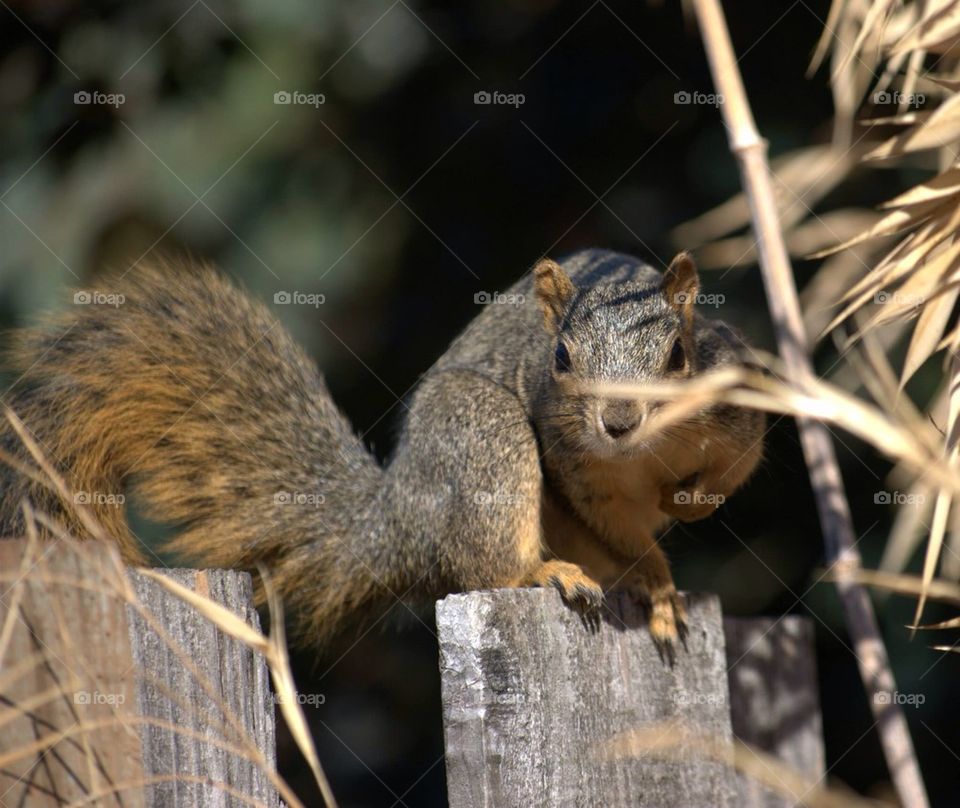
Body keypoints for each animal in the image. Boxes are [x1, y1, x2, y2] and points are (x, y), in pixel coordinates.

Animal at [0, 249, 763, 656]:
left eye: (679, 354)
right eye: (561, 359)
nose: (617, 421)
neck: (642, 455)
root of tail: (393, 519)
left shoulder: (741, 401)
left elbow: (731, 471)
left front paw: (686, 504)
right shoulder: (573, 464)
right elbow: (613, 525)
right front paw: (658, 580)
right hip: (482, 431)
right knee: (484, 563)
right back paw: (545, 572)